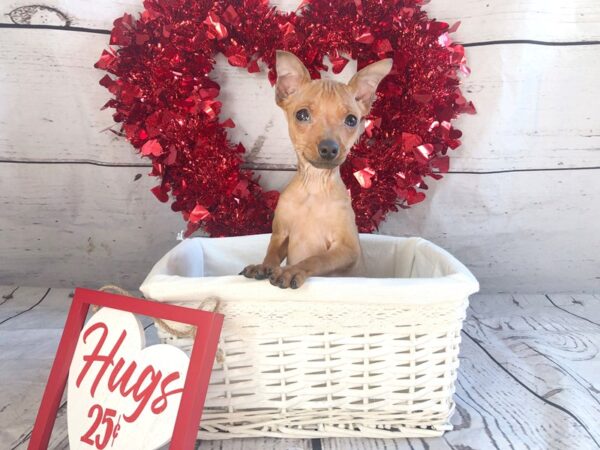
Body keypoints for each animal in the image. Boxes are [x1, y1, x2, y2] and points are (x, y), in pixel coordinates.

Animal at [241, 49, 392, 288]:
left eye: (351, 120)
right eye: (302, 115)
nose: (329, 148)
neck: (314, 184)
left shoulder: (346, 249)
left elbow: (317, 258)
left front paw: (292, 270)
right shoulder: (280, 235)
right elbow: (271, 253)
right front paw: (263, 267)